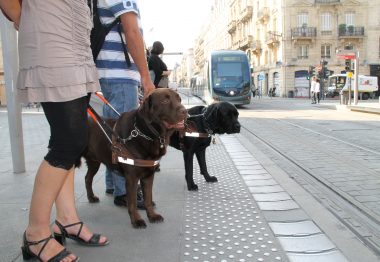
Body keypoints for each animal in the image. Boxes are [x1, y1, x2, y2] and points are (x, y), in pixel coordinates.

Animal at [81, 88, 187, 227]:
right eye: (165, 101)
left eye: (179, 99)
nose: (185, 111)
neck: (146, 133)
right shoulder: (131, 177)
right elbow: (132, 203)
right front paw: (136, 220)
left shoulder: (148, 176)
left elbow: (148, 199)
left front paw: (152, 216)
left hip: (94, 161)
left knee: (87, 178)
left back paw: (91, 197)